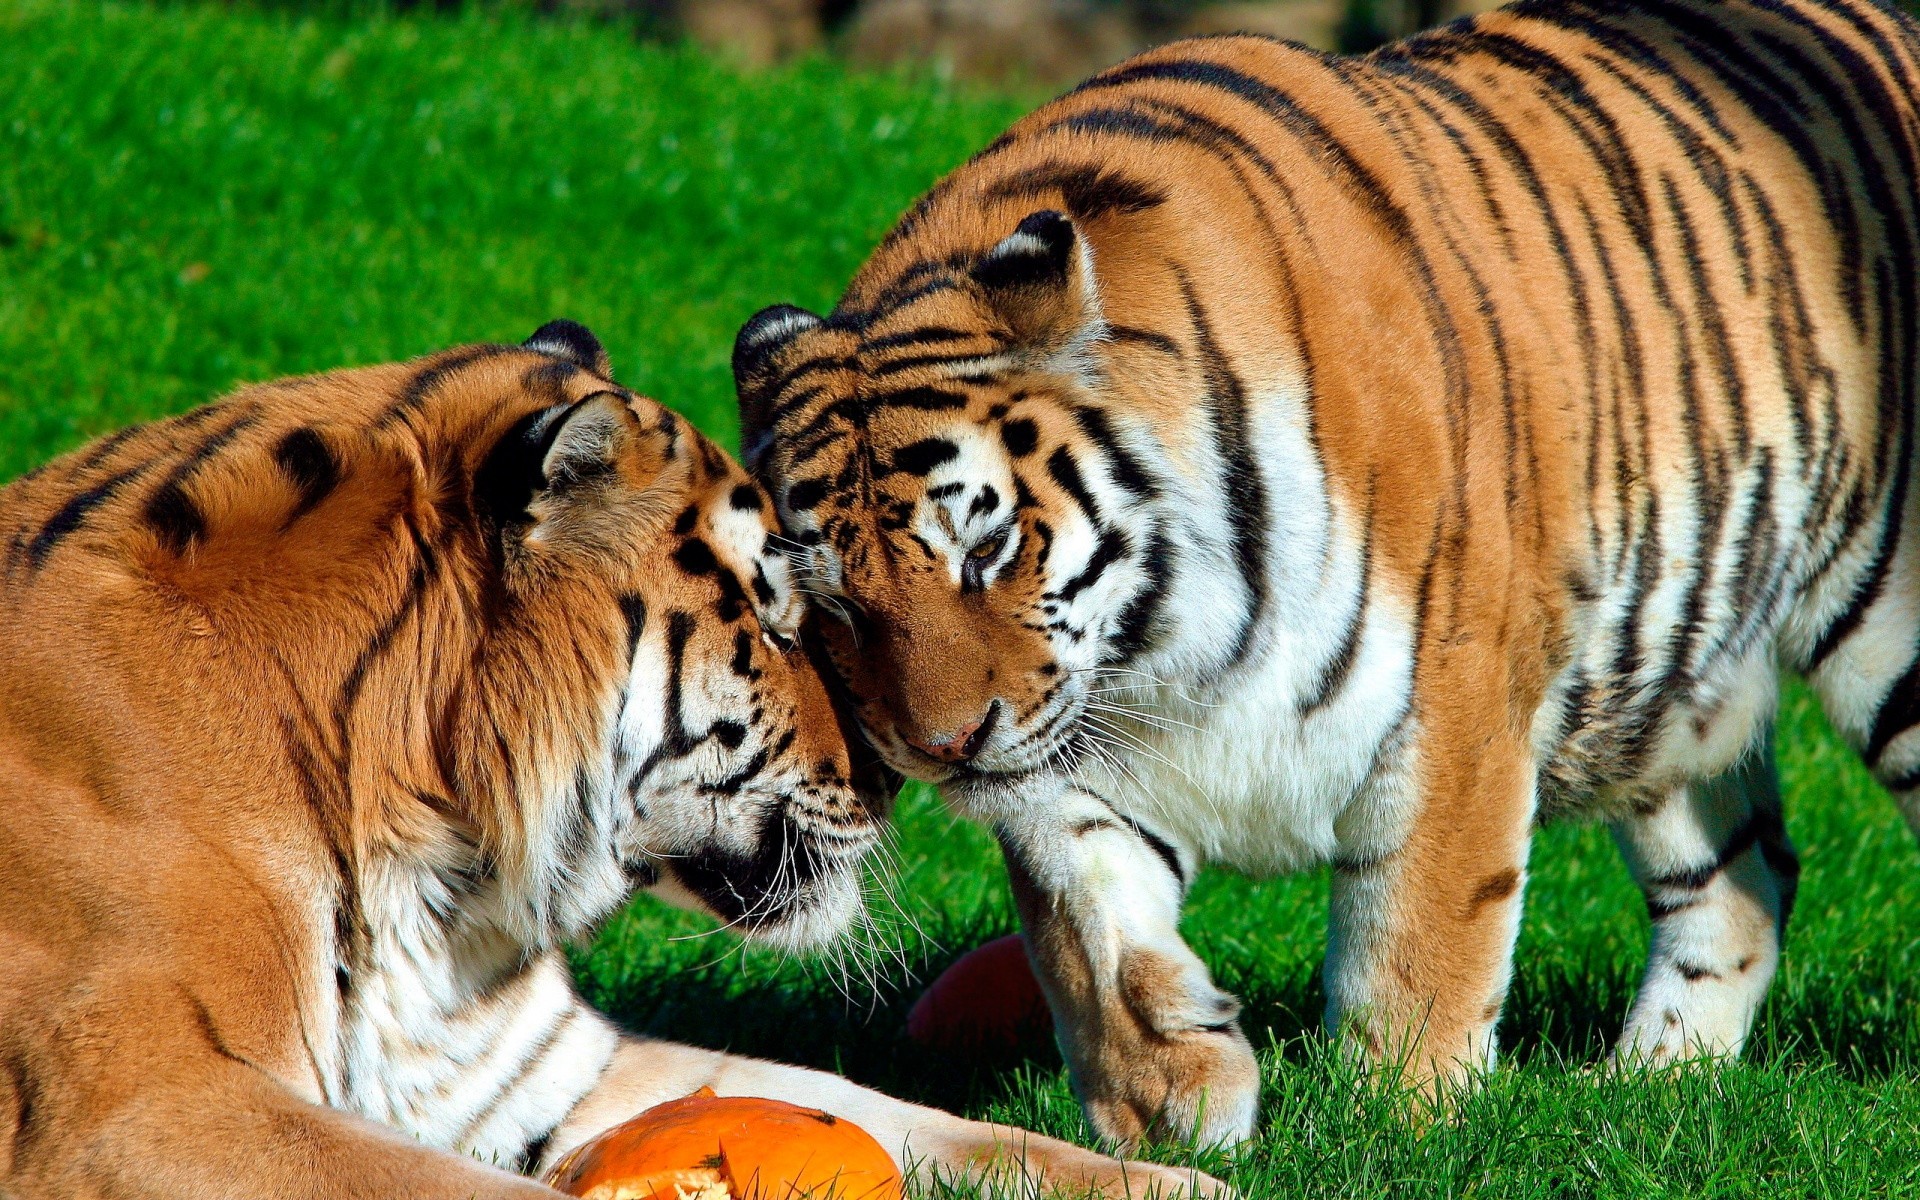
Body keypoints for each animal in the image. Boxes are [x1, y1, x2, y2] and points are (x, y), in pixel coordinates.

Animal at [0, 322, 1221, 1190]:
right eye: (771, 615)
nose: (895, 776)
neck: (430, 864)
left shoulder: (538, 1072)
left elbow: (880, 1108)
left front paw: (1180, 1180)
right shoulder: (139, 1108)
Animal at [729, 0, 1920, 1144]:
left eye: (985, 548)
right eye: (829, 602)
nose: (937, 749)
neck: (1162, 647)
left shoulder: (1453, 703)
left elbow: (1419, 940)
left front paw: (1399, 1122)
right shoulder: (1066, 756)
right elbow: (1088, 926)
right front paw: (1170, 1096)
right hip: (1671, 689)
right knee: (1743, 885)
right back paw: (1649, 1089)